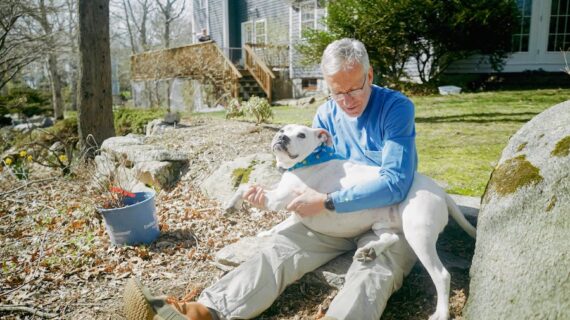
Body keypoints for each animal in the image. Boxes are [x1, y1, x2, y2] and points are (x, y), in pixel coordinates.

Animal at [225, 124, 474, 318]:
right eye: (282, 130)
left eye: (302, 135)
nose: (282, 137)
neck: (309, 160)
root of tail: (442, 193)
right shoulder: (290, 205)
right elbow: (272, 212)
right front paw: (264, 230)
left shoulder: (278, 199)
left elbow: (245, 186)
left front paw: (231, 204)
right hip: (383, 224)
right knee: (391, 237)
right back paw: (371, 250)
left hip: (418, 234)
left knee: (441, 275)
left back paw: (441, 313)